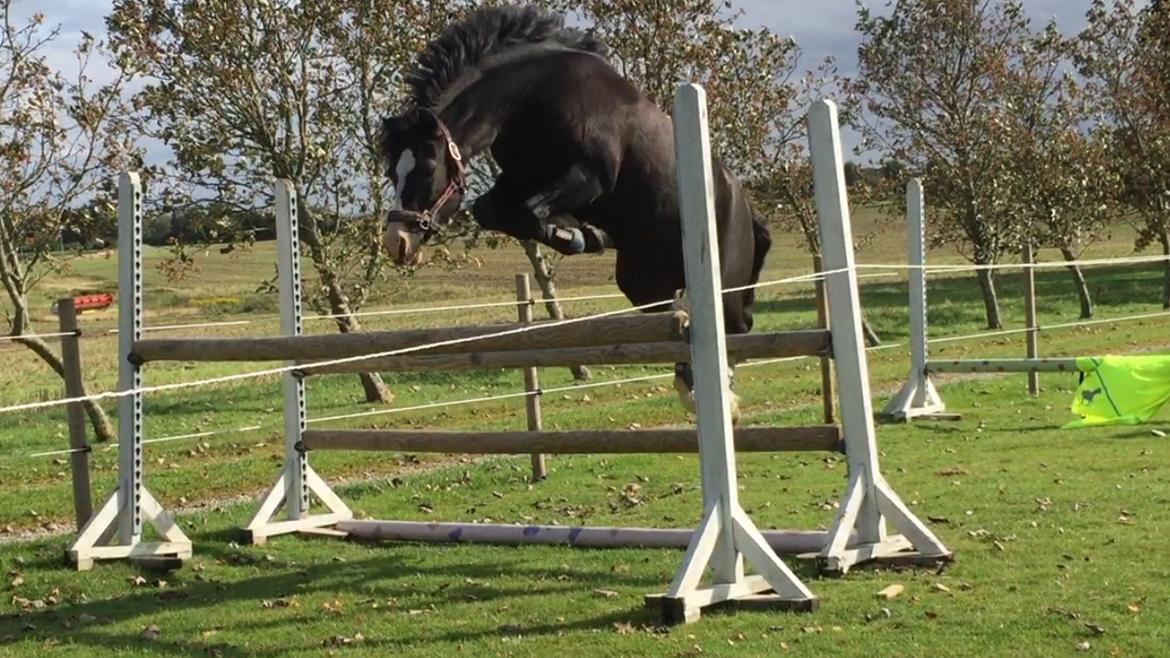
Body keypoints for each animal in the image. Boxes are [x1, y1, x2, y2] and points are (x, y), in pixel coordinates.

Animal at [379, 5, 771, 411]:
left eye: (426, 169)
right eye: (391, 172)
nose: (398, 242)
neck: (531, 98)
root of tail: (746, 206)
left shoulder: (589, 176)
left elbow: (529, 211)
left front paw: (576, 233)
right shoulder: (518, 181)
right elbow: (495, 211)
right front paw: (581, 233)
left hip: (723, 278)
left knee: (732, 326)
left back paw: (718, 392)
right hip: (643, 279)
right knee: (675, 314)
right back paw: (689, 377)